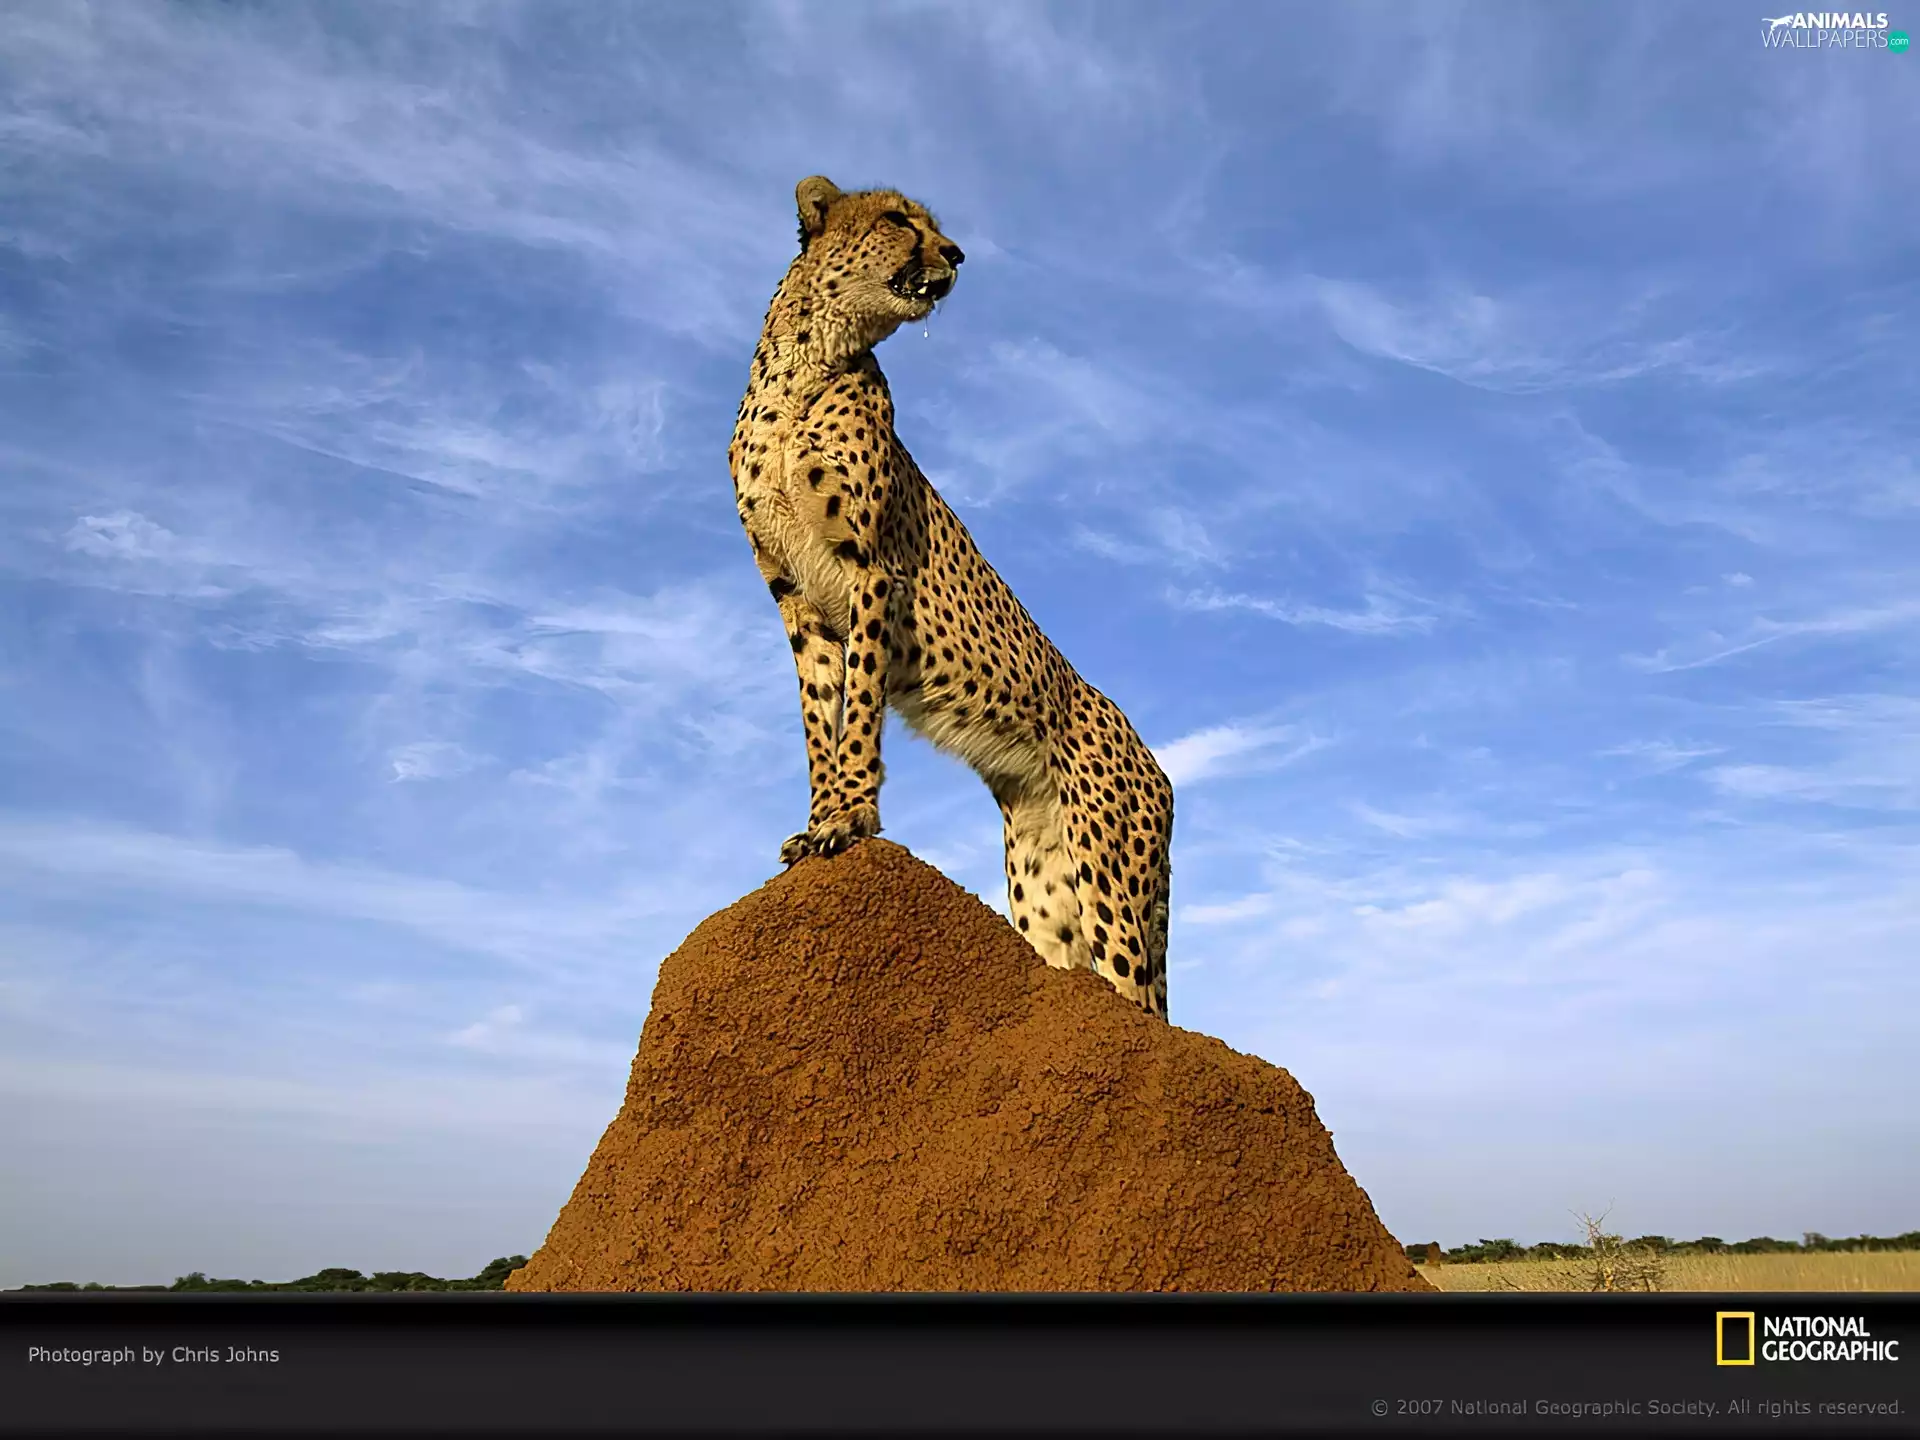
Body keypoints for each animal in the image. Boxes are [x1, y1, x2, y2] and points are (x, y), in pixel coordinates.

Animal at [727, 176, 1175, 1020]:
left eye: (931, 225)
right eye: (900, 220)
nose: (958, 254)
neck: (809, 361)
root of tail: (1156, 766)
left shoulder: (871, 569)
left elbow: (860, 712)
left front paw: (851, 817)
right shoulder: (796, 599)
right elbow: (819, 720)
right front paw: (817, 823)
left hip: (1111, 881)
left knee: (1143, 1003)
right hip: (1044, 887)